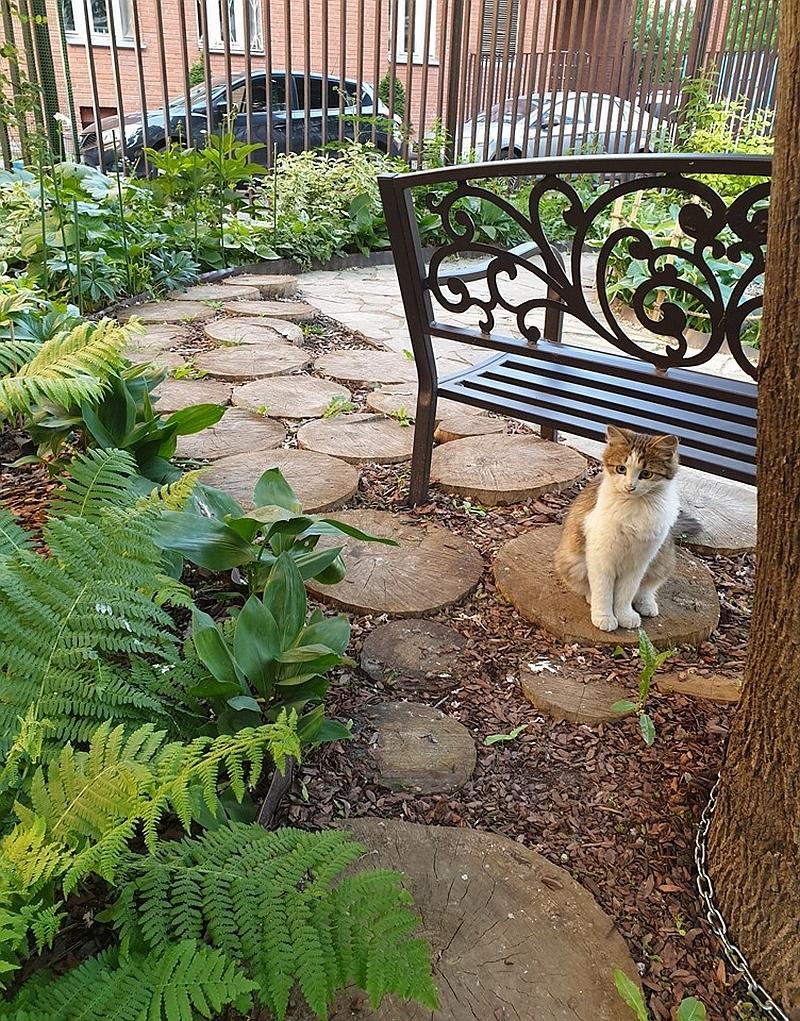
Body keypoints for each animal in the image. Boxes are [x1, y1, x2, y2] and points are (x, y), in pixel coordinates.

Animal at [555, 422, 689, 628]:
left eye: (646, 474)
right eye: (621, 469)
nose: (629, 487)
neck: (634, 508)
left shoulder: (639, 562)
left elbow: (627, 592)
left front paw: (624, 615)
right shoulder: (601, 556)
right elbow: (603, 591)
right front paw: (604, 617)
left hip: (662, 560)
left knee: (646, 589)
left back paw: (646, 604)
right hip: (571, 561)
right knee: (587, 586)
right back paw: (591, 598)